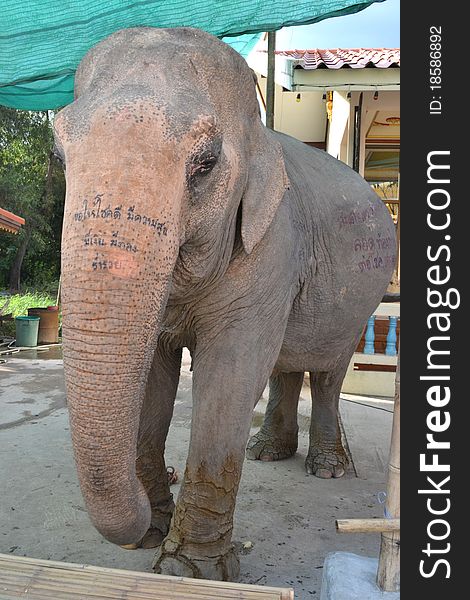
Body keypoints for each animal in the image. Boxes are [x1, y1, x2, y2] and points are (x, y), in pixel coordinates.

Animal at [54, 27, 396, 580]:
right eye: (59, 157)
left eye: (206, 163)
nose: (150, 504)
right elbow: (154, 375)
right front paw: (151, 536)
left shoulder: (271, 243)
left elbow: (231, 372)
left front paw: (185, 570)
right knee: (286, 364)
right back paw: (266, 454)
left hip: (358, 302)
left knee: (327, 372)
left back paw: (326, 469)